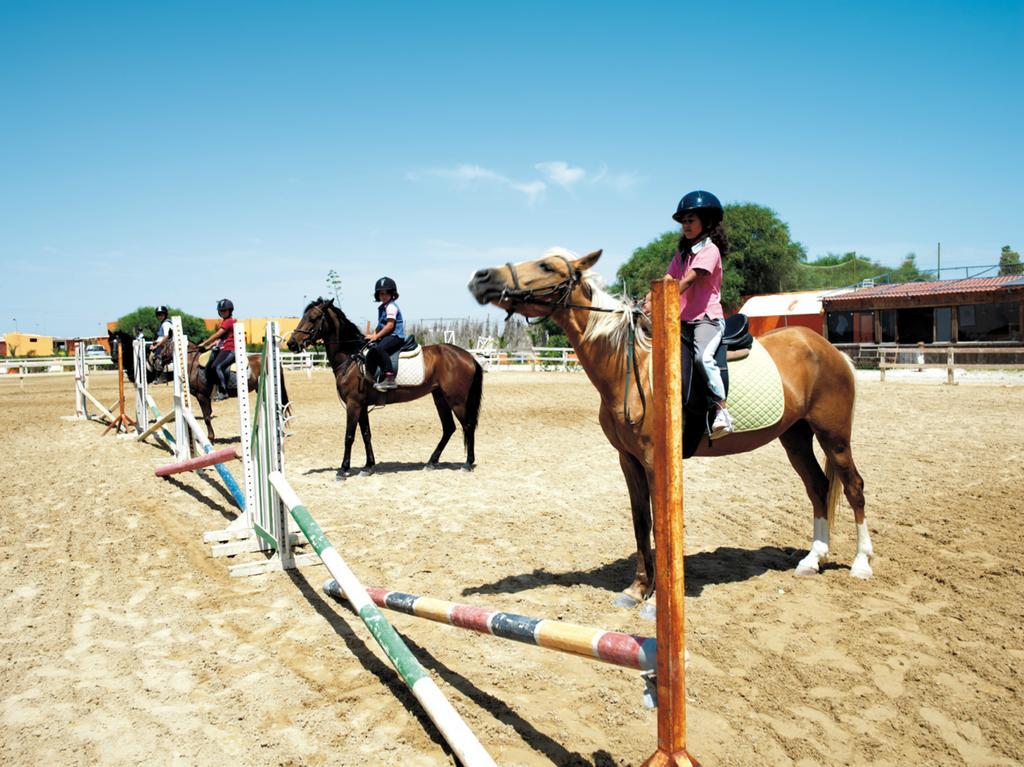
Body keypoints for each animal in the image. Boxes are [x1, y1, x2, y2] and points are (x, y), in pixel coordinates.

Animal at [286, 296, 481, 475]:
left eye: (313, 318)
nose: (291, 343)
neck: (352, 358)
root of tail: (468, 356)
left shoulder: (353, 405)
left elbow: (349, 436)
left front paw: (343, 469)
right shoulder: (362, 406)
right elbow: (366, 434)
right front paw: (368, 466)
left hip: (456, 400)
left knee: (468, 426)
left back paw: (467, 463)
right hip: (440, 398)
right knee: (449, 428)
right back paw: (432, 462)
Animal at [471, 248, 872, 618]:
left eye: (546, 266)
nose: (481, 277)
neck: (634, 367)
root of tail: (826, 348)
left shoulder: (655, 460)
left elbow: (661, 527)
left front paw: (655, 602)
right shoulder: (628, 460)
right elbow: (641, 522)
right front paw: (636, 590)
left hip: (834, 435)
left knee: (853, 487)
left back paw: (861, 563)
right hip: (796, 437)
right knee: (818, 486)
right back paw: (812, 560)